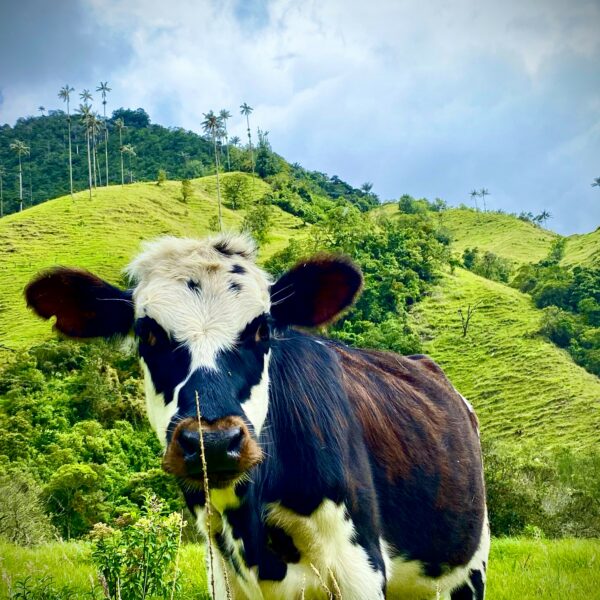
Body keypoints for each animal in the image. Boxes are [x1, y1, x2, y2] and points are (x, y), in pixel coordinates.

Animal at [25, 234, 490, 600]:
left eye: (262, 329)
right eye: (148, 334)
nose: (213, 442)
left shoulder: (361, 568)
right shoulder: (221, 574)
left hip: (470, 569)